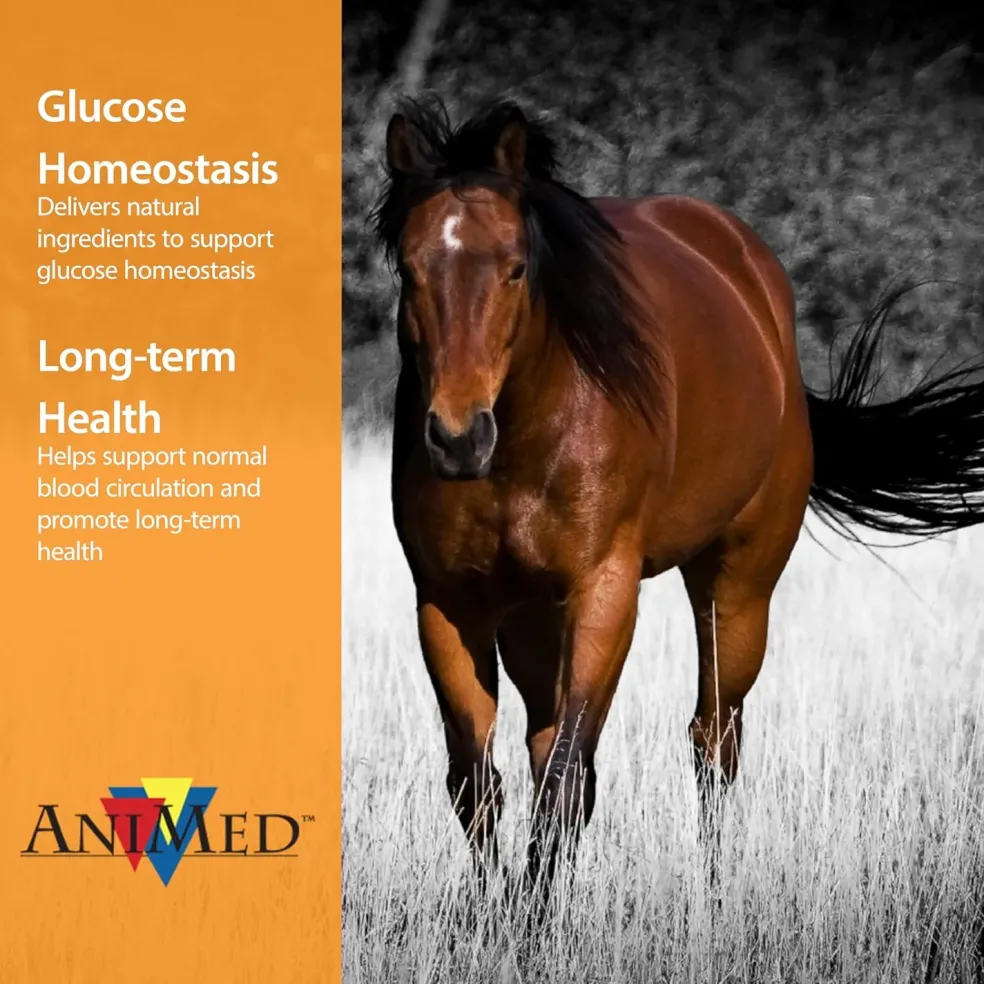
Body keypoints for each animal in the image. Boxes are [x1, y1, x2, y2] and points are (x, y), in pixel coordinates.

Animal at [370, 97, 984, 905]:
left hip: (736, 586)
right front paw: (503, 913)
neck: (529, 436)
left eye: (515, 267)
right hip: (533, 614)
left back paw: (715, 893)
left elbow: (566, 778)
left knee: (712, 739)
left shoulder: (605, 591)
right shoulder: (448, 603)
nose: (457, 436)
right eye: (410, 270)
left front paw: (534, 918)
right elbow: (477, 782)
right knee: (546, 741)